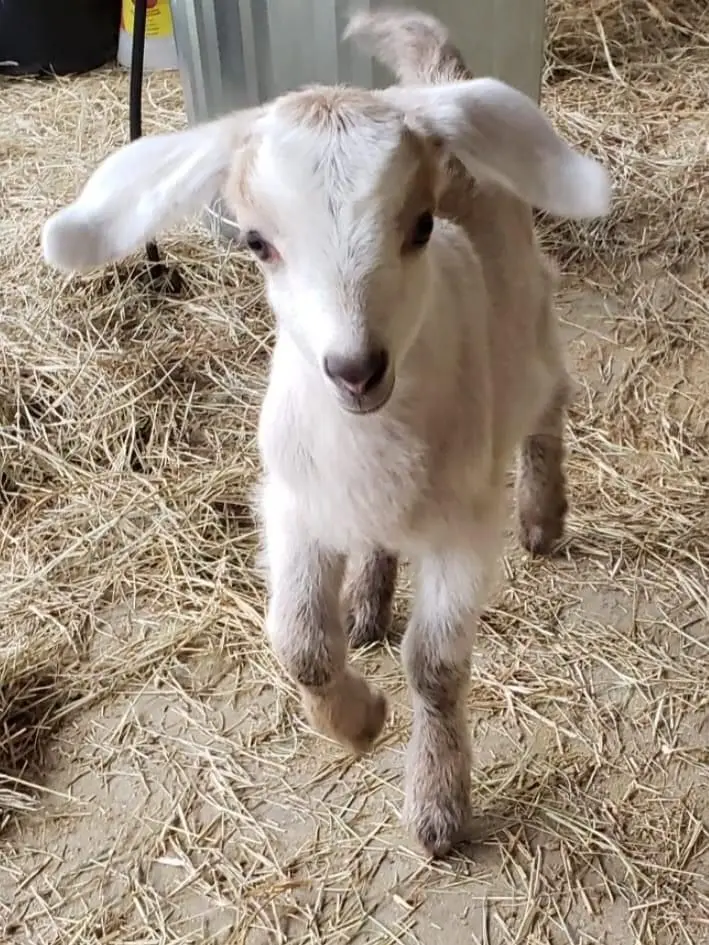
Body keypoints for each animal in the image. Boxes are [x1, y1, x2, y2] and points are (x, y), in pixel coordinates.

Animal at [41, 8, 611, 857]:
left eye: (420, 225)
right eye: (257, 242)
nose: (355, 369)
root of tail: (436, 88)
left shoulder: (462, 526)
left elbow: (434, 666)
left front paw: (436, 803)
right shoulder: (294, 504)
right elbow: (299, 643)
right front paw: (355, 720)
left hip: (528, 327)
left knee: (547, 402)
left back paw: (543, 516)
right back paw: (368, 602)